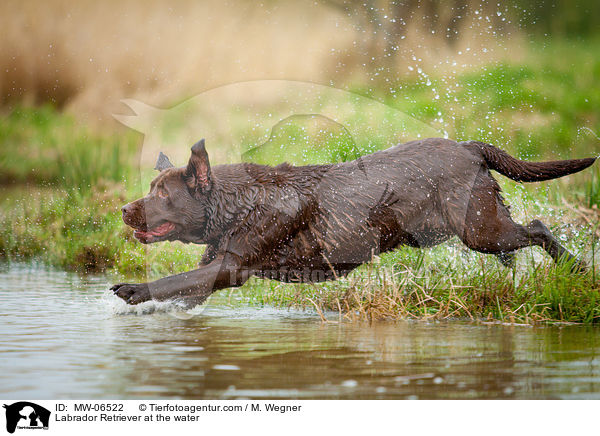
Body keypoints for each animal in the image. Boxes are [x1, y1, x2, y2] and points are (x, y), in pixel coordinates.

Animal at [111, 138, 596, 304]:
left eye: (161, 195)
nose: (123, 210)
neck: (238, 203)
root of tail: (468, 145)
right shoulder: (215, 267)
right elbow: (183, 288)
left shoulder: (230, 267)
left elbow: (173, 279)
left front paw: (133, 290)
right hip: (478, 228)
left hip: (480, 229)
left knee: (537, 227)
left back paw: (576, 268)